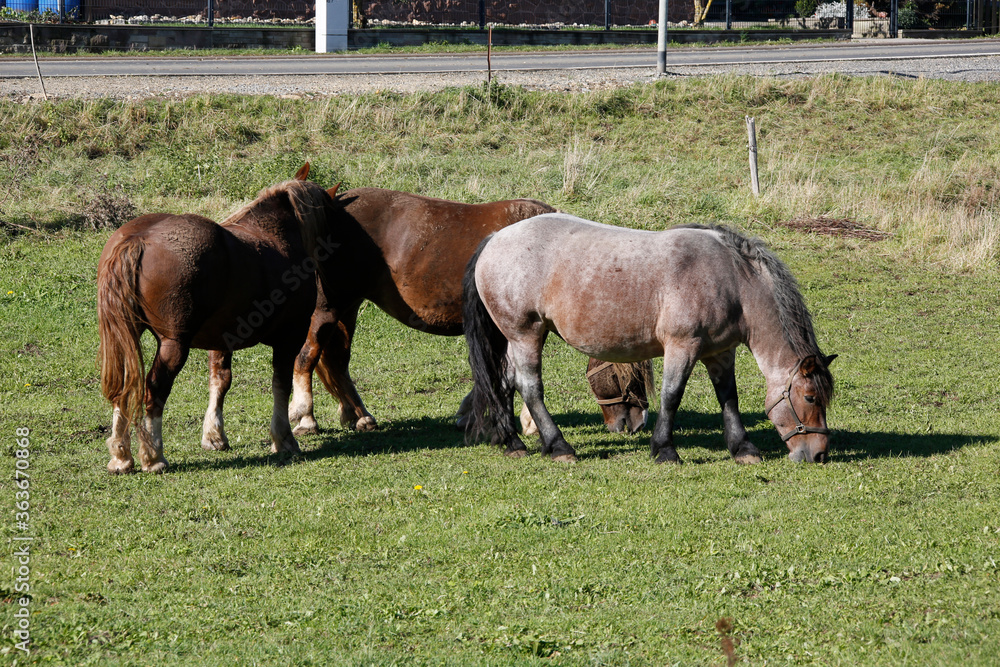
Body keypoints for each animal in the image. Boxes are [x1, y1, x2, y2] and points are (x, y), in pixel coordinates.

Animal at [97, 178, 340, 473]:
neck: (278, 235)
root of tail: (137, 238)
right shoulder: (288, 339)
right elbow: (281, 385)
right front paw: (283, 439)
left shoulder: (223, 339)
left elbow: (220, 381)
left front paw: (214, 436)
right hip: (174, 345)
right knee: (154, 390)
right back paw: (154, 457)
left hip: (124, 337)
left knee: (123, 388)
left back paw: (121, 456)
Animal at [198, 167, 652, 451]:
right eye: (627, 374)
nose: (633, 424)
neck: (547, 250)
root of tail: (330, 204)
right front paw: (524, 421)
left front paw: (473, 414)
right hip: (330, 307)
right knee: (308, 356)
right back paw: (305, 416)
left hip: (349, 307)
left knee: (337, 360)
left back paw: (357, 415)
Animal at [463, 213, 836, 464]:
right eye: (810, 397)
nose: (818, 454)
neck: (731, 279)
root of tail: (495, 238)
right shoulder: (682, 346)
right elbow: (672, 396)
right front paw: (665, 450)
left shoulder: (720, 352)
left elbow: (728, 397)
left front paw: (743, 448)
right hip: (525, 334)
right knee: (529, 387)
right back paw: (559, 447)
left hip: (515, 338)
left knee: (504, 382)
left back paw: (513, 442)